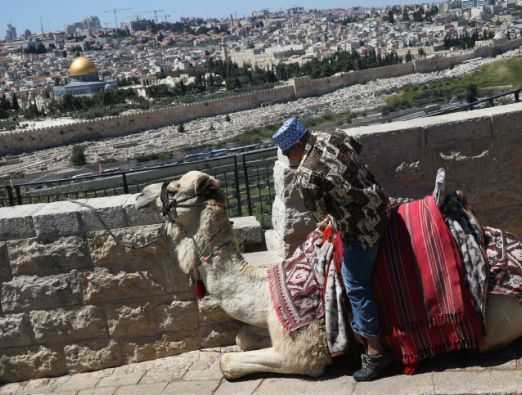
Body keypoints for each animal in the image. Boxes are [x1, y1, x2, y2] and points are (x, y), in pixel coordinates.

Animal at [135, 170, 522, 380]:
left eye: (175, 189)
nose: (141, 194)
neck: (266, 289)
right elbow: (243, 338)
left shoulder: (304, 348)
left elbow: (228, 361)